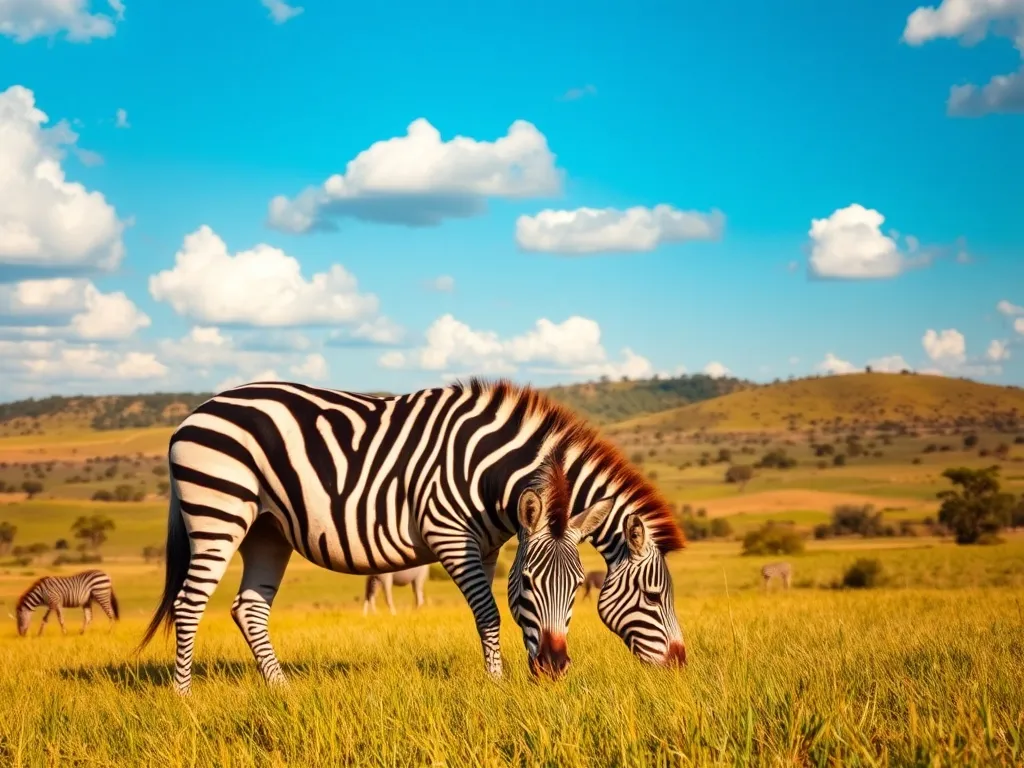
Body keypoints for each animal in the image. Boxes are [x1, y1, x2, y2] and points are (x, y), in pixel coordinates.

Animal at [137, 379, 687, 694]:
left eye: (576, 589)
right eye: (652, 596)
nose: (553, 670)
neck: (490, 474)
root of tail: (196, 411)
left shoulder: (488, 547)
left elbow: (490, 616)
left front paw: (496, 679)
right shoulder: (450, 536)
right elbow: (489, 614)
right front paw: (497, 687)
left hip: (266, 529)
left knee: (248, 608)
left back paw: (282, 691)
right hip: (219, 511)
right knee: (189, 604)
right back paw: (184, 698)